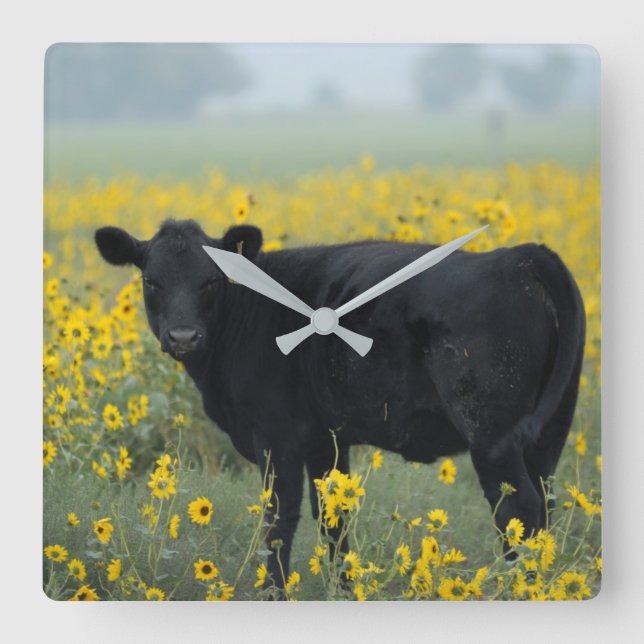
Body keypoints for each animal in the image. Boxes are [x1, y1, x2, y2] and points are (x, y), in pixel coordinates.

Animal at [95, 219, 585, 591]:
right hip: (548, 432)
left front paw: (275, 593)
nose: (183, 336)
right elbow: (334, 519)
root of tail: (519, 256)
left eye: (211, 280)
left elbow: (280, 520)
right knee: (545, 506)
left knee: (519, 511)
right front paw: (344, 590)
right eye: (150, 280)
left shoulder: (276, 437)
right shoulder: (325, 440)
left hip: (491, 435)